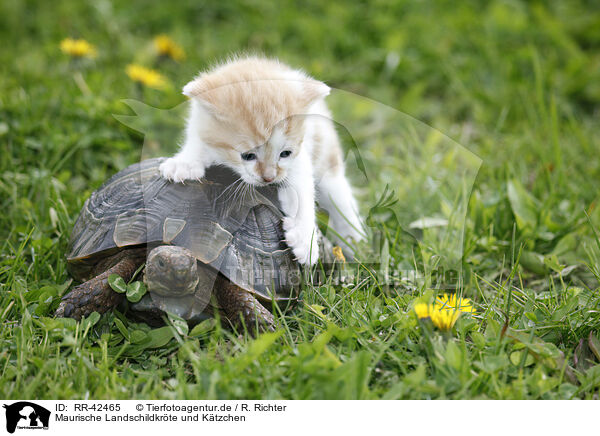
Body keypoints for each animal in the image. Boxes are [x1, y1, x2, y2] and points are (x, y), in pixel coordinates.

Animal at [159, 55, 364, 264]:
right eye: (248, 155)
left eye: (285, 153)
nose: (269, 178)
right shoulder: (198, 124)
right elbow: (197, 142)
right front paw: (184, 163)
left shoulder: (299, 159)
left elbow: (302, 191)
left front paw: (305, 240)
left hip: (326, 155)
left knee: (340, 198)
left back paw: (354, 242)